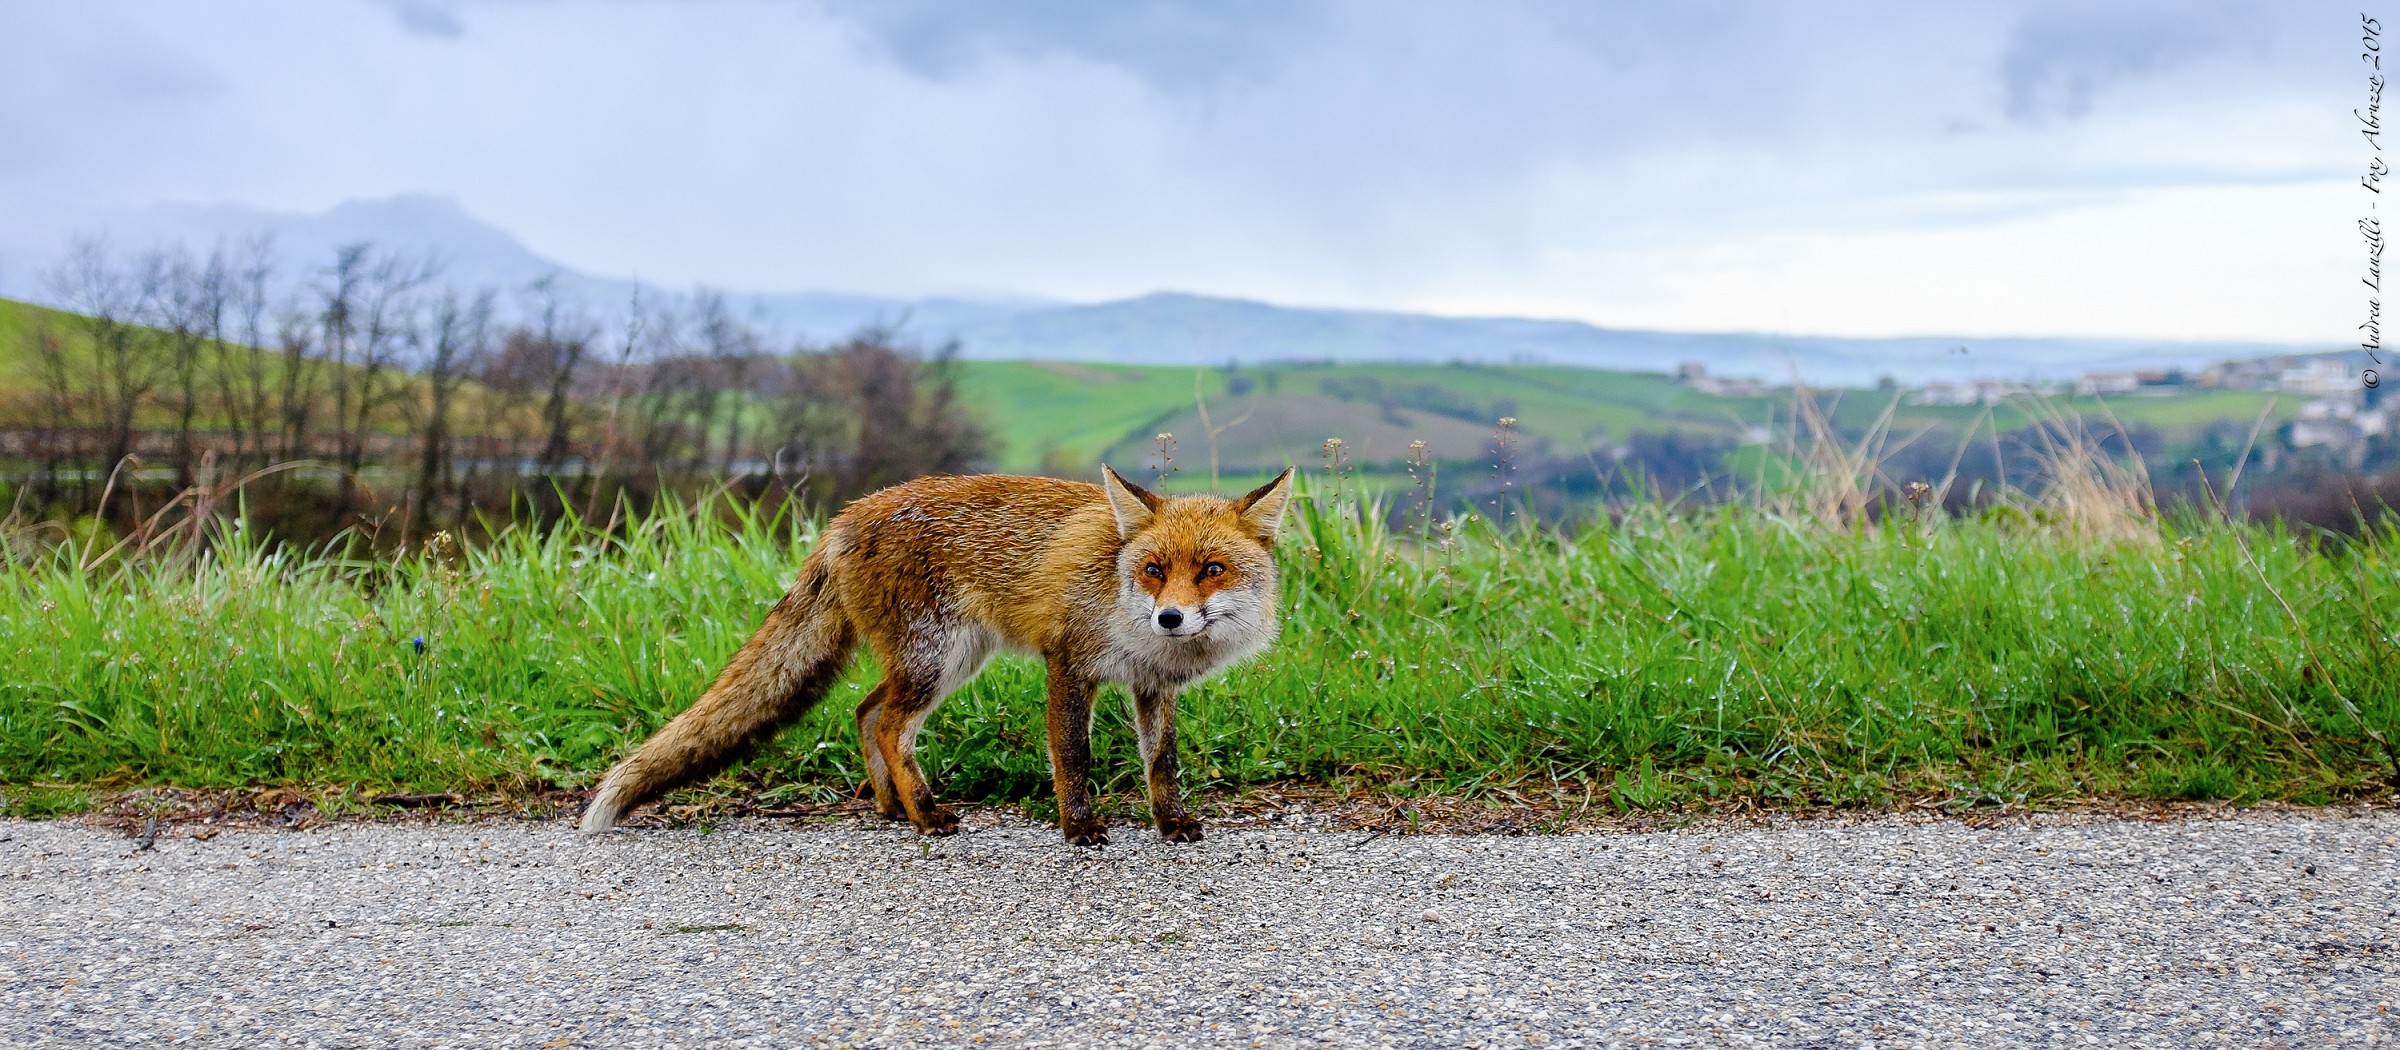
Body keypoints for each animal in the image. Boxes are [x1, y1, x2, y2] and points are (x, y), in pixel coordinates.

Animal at [577, 464, 1295, 846]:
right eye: (1153, 570)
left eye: (1211, 569)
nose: (1170, 617)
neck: (1117, 594)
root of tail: (844, 517)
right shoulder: (1069, 663)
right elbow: (1074, 756)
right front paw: (1079, 827)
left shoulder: (1153, 685)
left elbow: (1162, 762)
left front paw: (1170, 821)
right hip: (938, 659)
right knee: (891, 726)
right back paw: (925, 813)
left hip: (944, 662)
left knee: (866, 713)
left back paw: (892, 806)